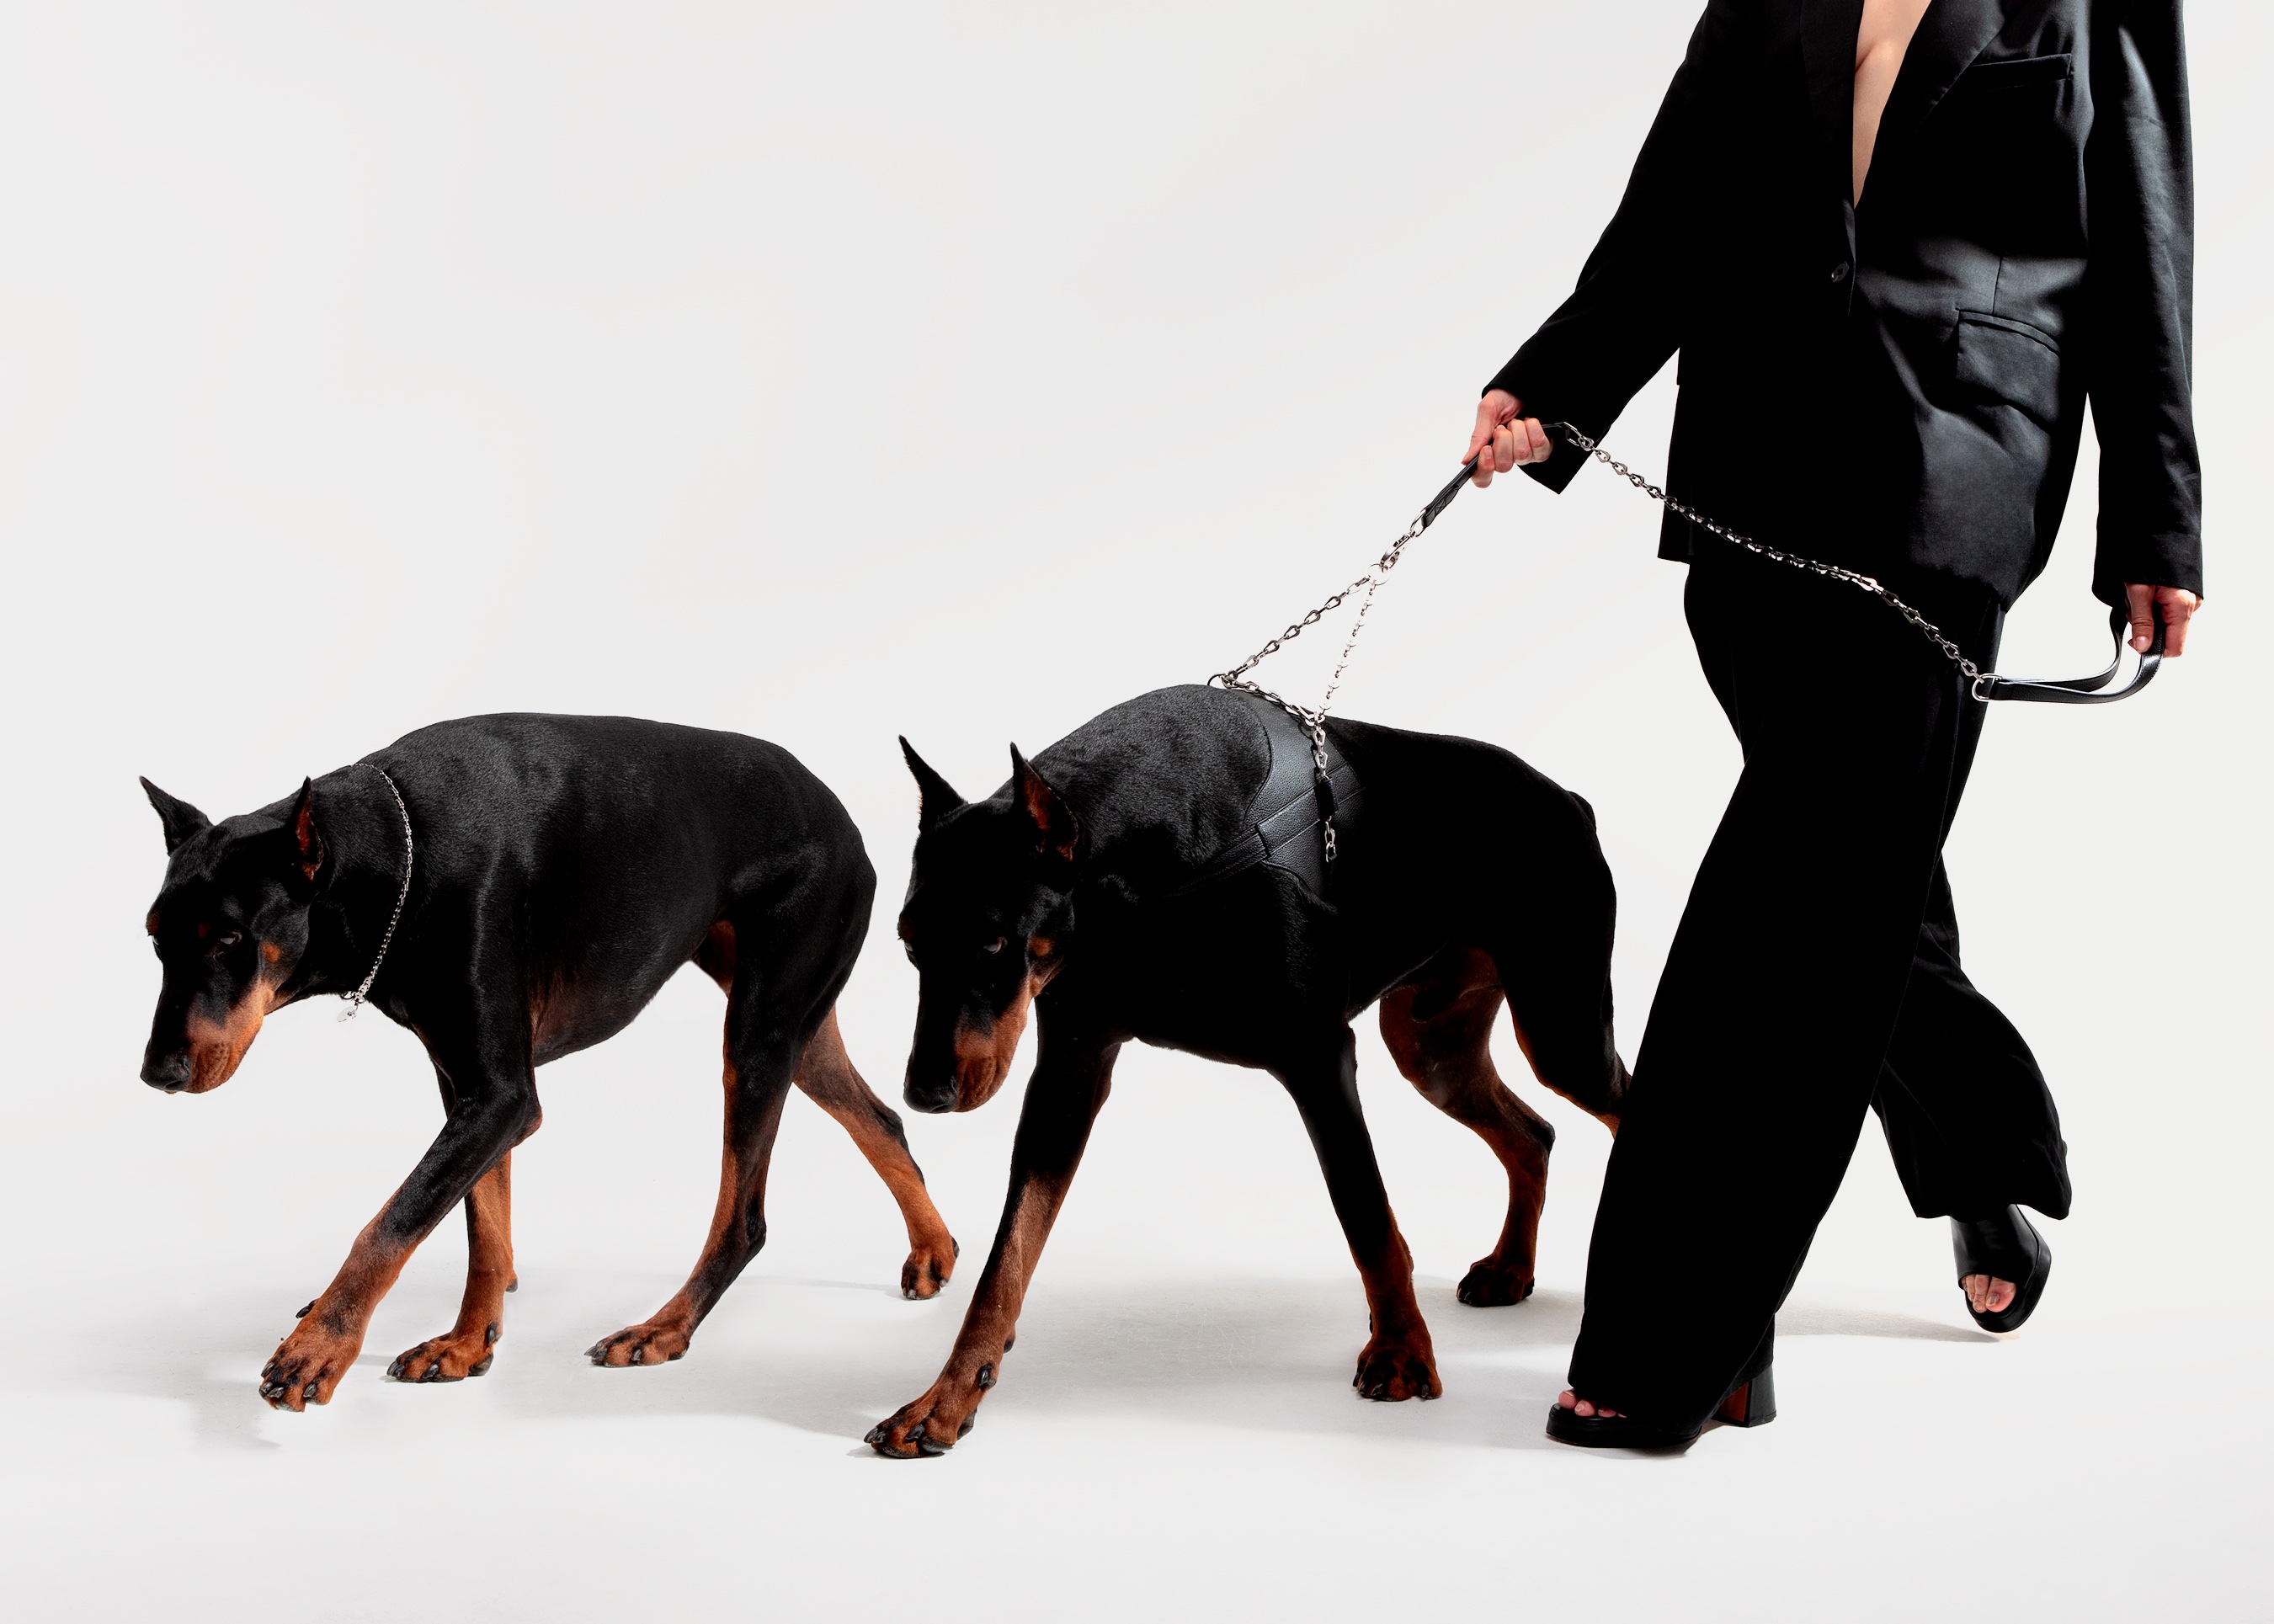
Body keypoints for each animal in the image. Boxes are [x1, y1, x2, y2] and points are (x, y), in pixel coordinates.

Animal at [140, 713, 957, 1410]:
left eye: (228, 938)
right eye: (153, 935)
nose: (157, 1074)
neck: (396, 857)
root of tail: (839, 809)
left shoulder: (500, 1098)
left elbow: (394, 1219)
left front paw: (320, 1346)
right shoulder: (468, 1088)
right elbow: (480, 1219)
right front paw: (467, 1342)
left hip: (758, 1033)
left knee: (743, 1219)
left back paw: (664, 1327)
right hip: (792, 1022)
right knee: (878, 1114)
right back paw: (934, 1247)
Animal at [865, 684, 1626, 1456]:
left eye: (993, 941)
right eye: (908, 943)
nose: (924, 1093)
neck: (1146, 885)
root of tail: (1567, 797)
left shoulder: (1318, 1055)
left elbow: (1366, 1214)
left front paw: (1401, 1353)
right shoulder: (1069, 1072)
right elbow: (1006, 1258)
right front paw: (945, 1398)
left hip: (1562, 1027)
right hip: (1430, 1042)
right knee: (1532, 1133)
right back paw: (1510, 1269)